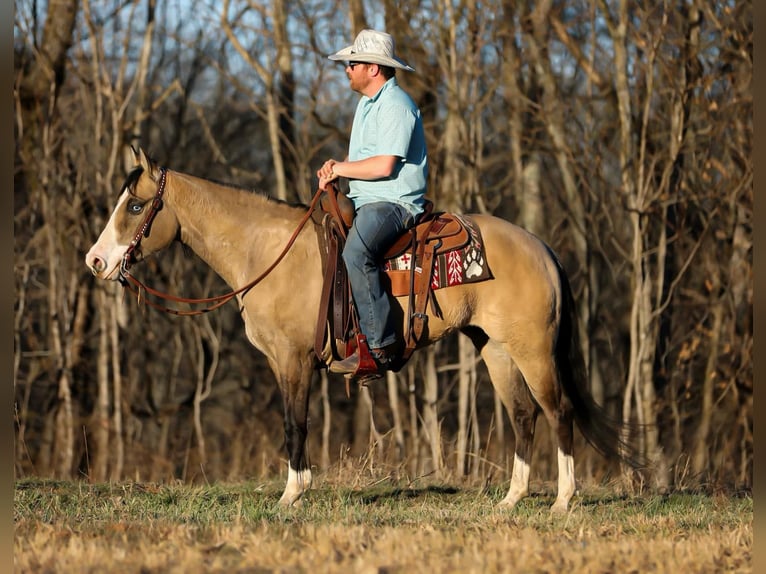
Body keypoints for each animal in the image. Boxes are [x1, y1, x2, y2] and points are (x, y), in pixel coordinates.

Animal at [85, 147, 640, 512]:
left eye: (135, 206)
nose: (96, 261)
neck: (267, 251)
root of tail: (542, 249)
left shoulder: (293, 360)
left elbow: (295, 423)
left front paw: (292, 494)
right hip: (496, 349)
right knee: (524, 416)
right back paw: (511, 500)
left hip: (534, 350)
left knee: (558, 411)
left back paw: (563, 501)